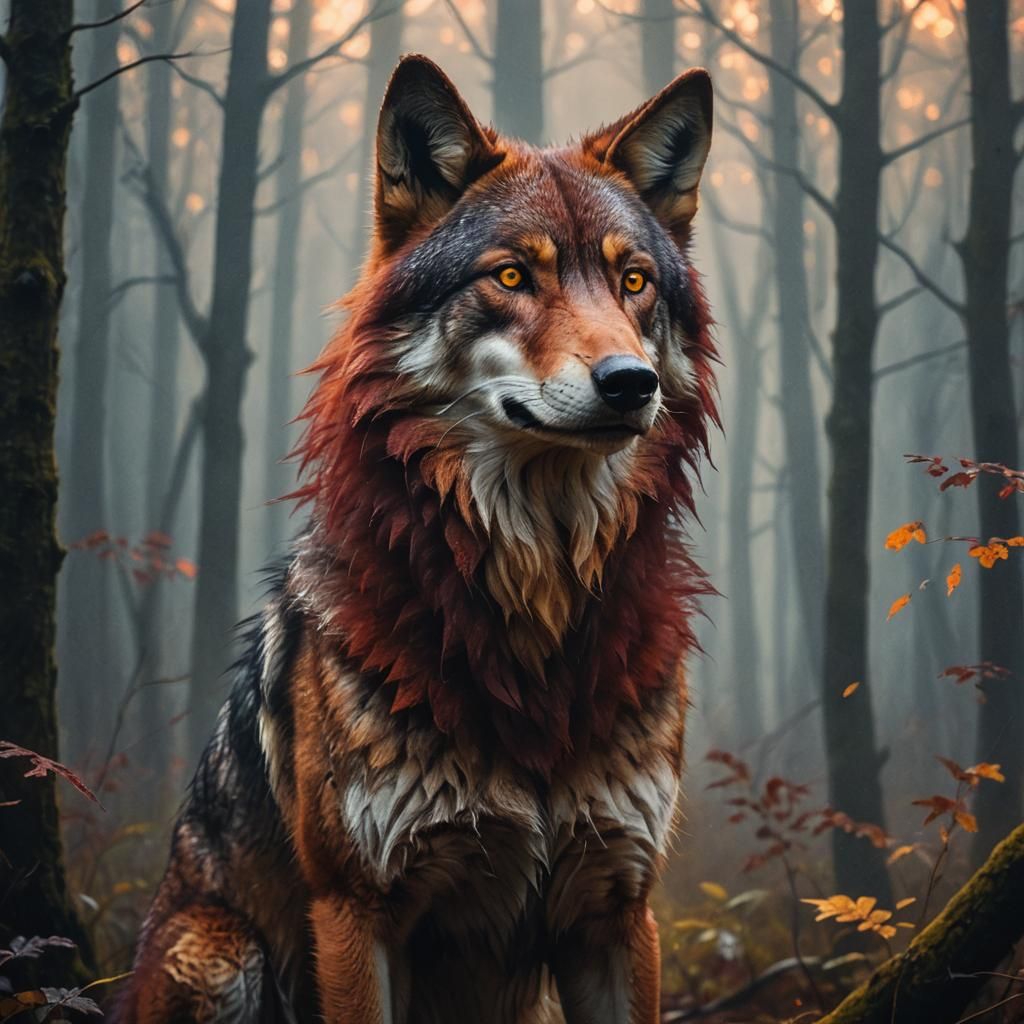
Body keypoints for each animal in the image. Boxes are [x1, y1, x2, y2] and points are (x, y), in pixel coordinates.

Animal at [119, 54, 717, 1024]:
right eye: (511, 277)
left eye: (634, 283)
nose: (631, 383)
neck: (538, 611)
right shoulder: (356, 912)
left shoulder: (620, 911)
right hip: (222, 952)